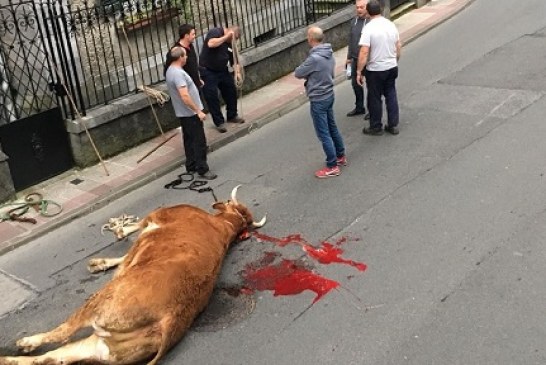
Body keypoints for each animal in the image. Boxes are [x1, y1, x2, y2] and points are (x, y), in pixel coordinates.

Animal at [0, 185, 264, 364]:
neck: (225, 226)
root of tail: (169, 320)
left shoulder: (156, 216)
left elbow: (134, 230)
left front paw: (117, 230)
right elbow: (126, 254)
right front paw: (101, 262)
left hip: (100, 303)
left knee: (62, 333)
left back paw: (27, 342)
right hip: (100, 347)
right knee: (50, 358)